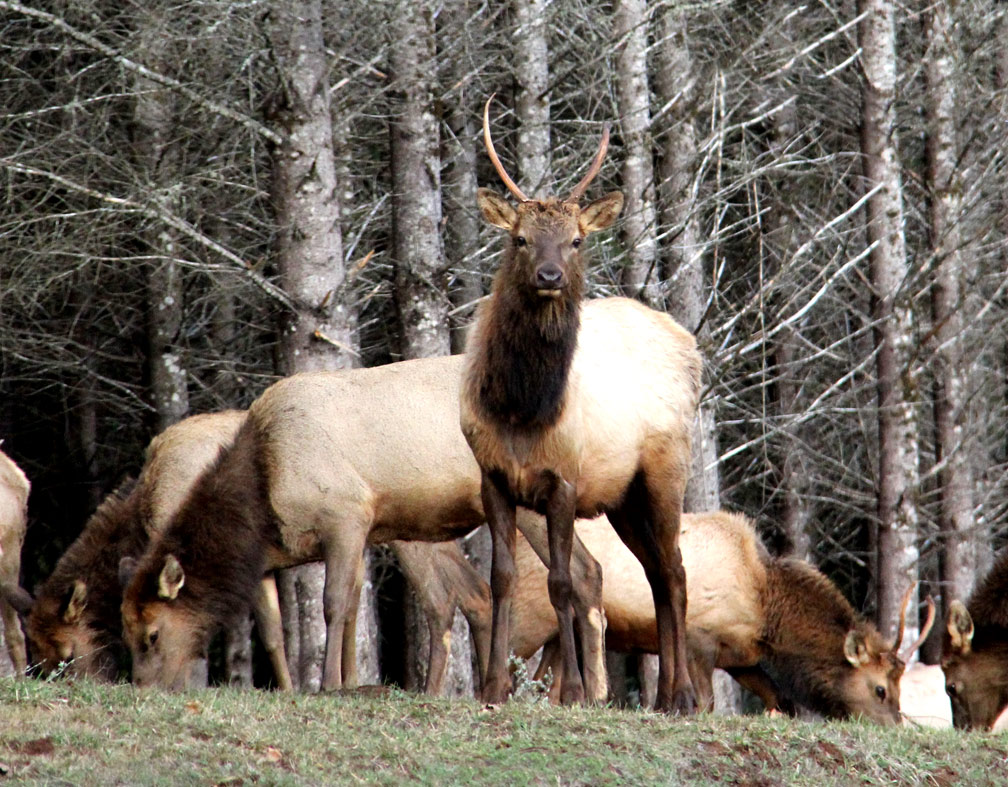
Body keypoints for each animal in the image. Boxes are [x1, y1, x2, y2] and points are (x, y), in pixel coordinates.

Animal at [117, 356, 604, 693]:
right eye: (125, 631)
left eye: (152, 635)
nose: (143, 689)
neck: (265, 490)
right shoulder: (285, 555)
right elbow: (289, 626)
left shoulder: (347, 514)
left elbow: (336, 605)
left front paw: (329, 683)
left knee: (582, 571)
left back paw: (590, 692)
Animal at [459, 98, 701, 713]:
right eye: (520, 238)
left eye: (576, 240)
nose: (550, 275)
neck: (521, 410)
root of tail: (689, 344)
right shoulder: (493, 477)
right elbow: (500, 578)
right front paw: (493, 687)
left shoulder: (564, 479)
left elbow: (562, 583)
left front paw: (571, 691)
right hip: (624, 496)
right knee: (655, 572)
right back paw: (662, 696)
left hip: (667, 469)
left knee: (675, 568)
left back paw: (684, 695)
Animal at [528, 509, 935, 725]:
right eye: (880, 689)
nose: (895, 727)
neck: (765, 611)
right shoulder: (699, 640)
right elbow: (706, 704)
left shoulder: (741, 660)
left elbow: (781, 701)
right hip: (532, 616)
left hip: (554, 637)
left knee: (544, 684)